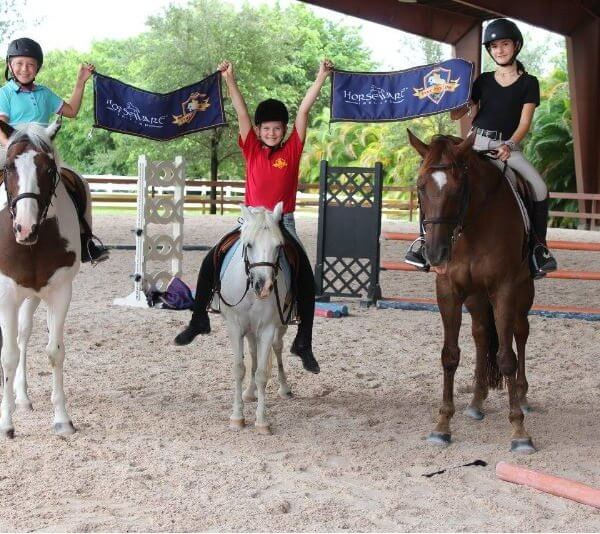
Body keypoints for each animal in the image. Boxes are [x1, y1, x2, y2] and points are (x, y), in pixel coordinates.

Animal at [0, 121, 80, 440]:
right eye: (9, 167)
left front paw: (62, 420)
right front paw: (6, 423)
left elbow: (54, 352)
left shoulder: (59, 292)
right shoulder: (6, 296)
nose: (25, 227)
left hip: (32, 298)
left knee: (23, 334)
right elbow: (8, 356)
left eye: (48, 169)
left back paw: (22, 397)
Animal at [217, 202, 294, 436]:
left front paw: (262, 421)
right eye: (249, 245)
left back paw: (284, 388)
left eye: (278, 246)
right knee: (252, 353)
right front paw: (237, 417)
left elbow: (261, 373)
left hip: (278, 327)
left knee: (277, 348)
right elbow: (239, 368)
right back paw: (249, 392)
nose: (264, 286)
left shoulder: (268, 328)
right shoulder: (235, 327)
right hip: (249, 330)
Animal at [408, 132, 536, 454]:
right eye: (420, 186)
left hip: (523, 292)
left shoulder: (504, 289)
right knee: (480, 334)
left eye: (458, 188)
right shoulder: (448, 290)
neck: (472, 224)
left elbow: (507, 357)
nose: (436, 253)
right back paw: (477, 401)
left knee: (520, 333)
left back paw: (523, 397)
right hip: (477, 297)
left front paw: (519, 430)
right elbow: (450, 355)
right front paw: (442, 425)